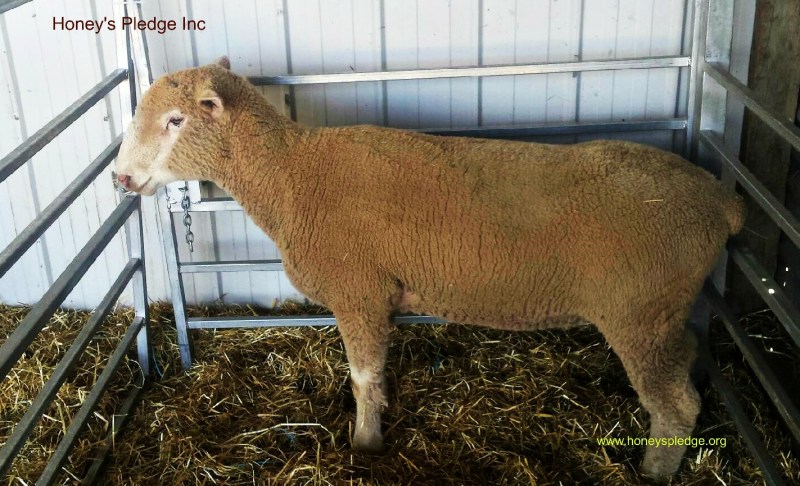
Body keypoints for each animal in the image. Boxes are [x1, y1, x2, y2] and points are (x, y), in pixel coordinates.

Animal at [115, 56, 745, 480]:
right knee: (686, 363)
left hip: (639, 314)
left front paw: (365, 444)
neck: (292, 176)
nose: (120, 177)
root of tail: (721, 200)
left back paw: (654, 472)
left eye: (175, 121)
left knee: (676, 406)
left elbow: (364, 378)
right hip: (663, 313)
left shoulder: (359, 292)